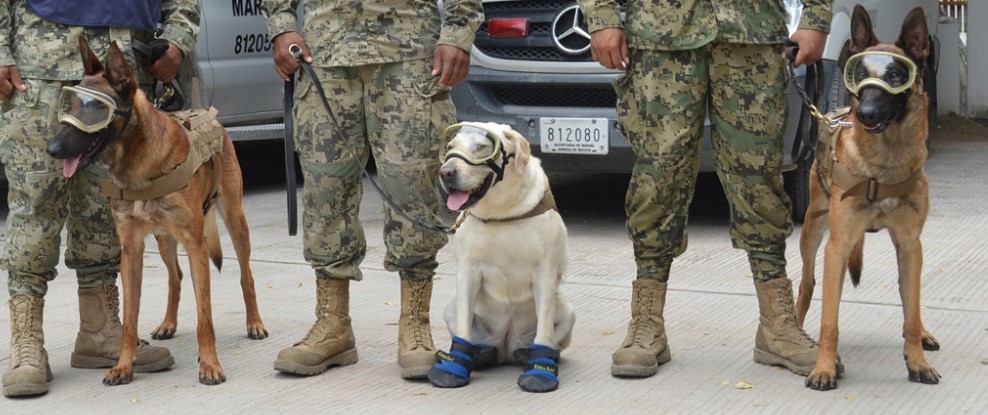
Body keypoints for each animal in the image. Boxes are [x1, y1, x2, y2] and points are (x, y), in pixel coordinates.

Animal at [47, 38, 266, 386]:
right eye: (70, 106)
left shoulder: (196, 246)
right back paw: (168, 323)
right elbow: (129, 318)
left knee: (247, 275)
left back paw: (254, 322)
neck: (138, 165)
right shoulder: (131, 251)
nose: (51, 150)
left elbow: (205, 316)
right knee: (175, 277)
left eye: (96, 109)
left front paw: (210, 364)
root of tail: (212, 117)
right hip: (164, 241)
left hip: (235, 220)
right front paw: (124, 366)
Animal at [796, 4, 940, 392]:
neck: (884, 166)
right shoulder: (838, 246)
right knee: (807, 284)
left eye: (896, 75)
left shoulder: (910, 243)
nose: (865, 114)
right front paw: (824, 368)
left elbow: (911, 310)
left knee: (909, 296)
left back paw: (922, 334)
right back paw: (795, 329)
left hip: (908, 252)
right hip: (813, 232)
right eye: (859, 73)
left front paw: (917, 362)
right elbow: (829, 321)